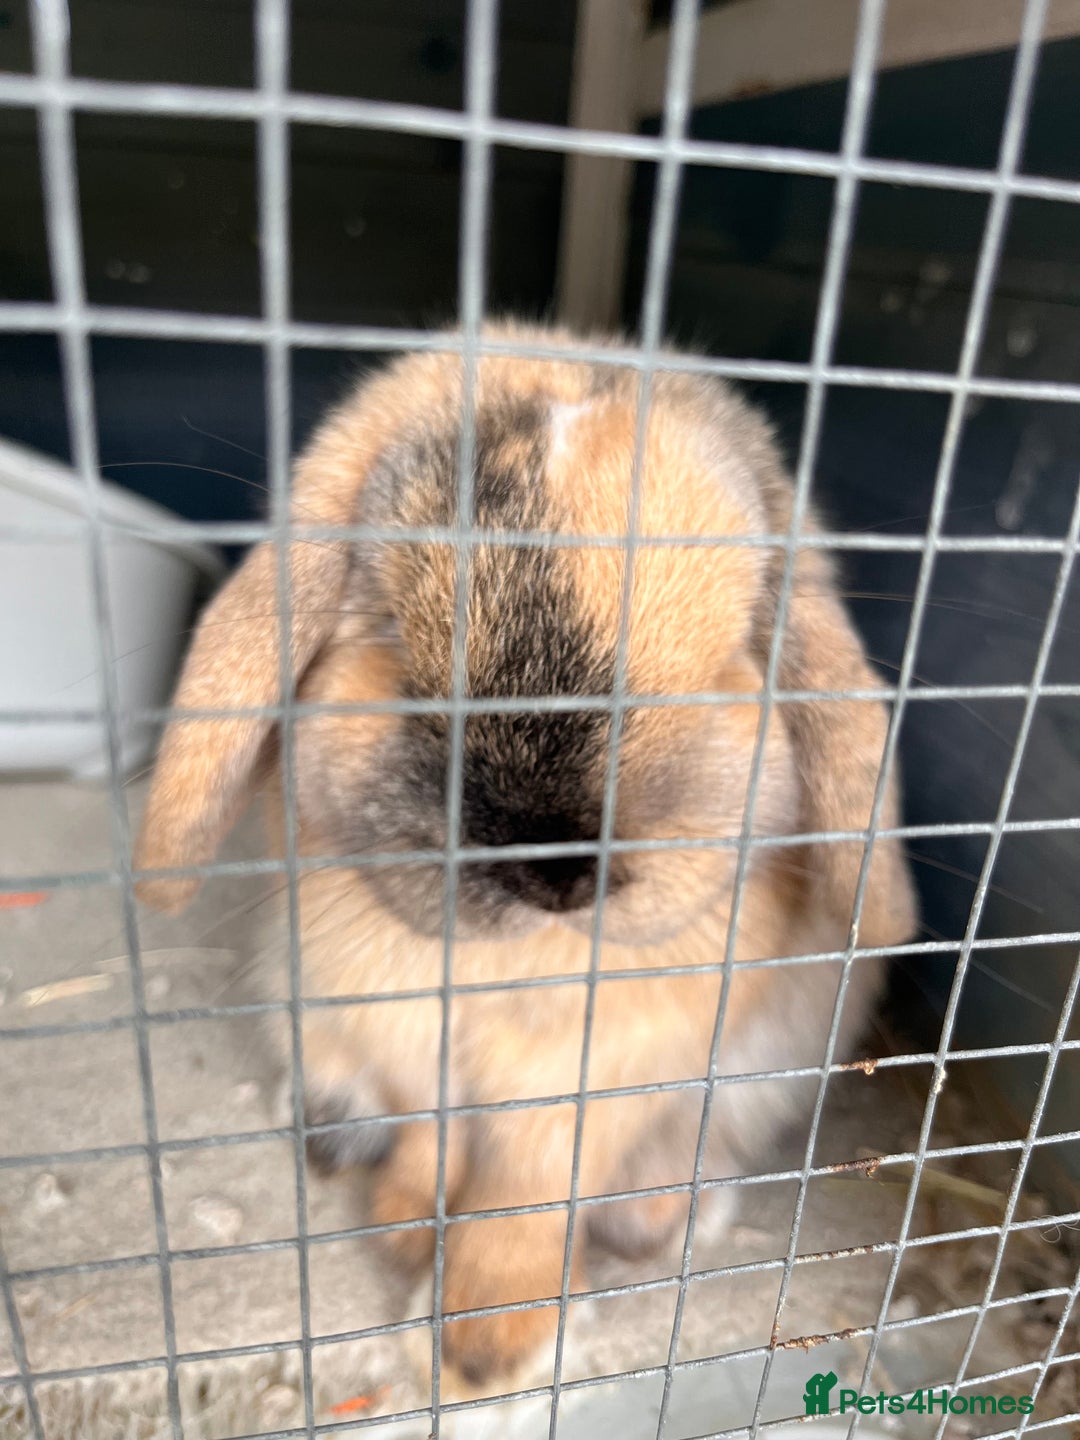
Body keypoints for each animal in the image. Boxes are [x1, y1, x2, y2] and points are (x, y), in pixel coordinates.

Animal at [134, 322, 917, 1395]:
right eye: (388, 632)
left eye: (731, 657)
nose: (559, 871)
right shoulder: (405, 1038)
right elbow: (432, 1142)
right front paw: (405, 1234)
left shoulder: (603, 1081)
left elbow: (528, 1193)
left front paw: (484, 1343)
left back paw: (656, 1220)